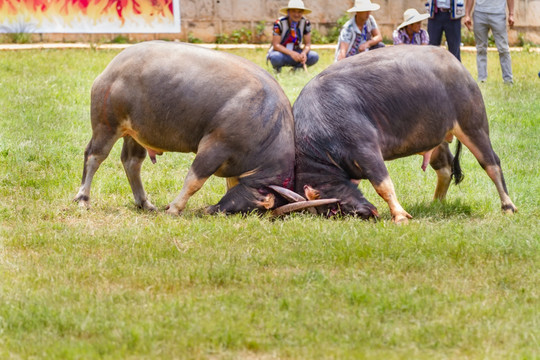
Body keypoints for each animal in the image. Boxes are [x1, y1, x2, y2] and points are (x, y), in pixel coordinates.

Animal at [73, 42, 322, 215]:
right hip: (106, 125)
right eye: (259, 207)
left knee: (132, 162)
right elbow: (194, 181)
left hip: (135, 134)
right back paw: (83, 199)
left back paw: (144, 203)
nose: (212, 210)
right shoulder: (215, 147)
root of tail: (113, 67)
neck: (267, 124)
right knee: (94, 156)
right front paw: (174, 208)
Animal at [294, 45, 516, 222]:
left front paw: (400, 215)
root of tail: (456, 64)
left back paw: (508, 206)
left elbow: (383, 185)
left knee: (491, 163)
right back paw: (436, 203)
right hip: (434, 138)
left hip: (473, 127)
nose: (367, 214)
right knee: (445, 167)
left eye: (334, 207)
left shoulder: (366, 150)